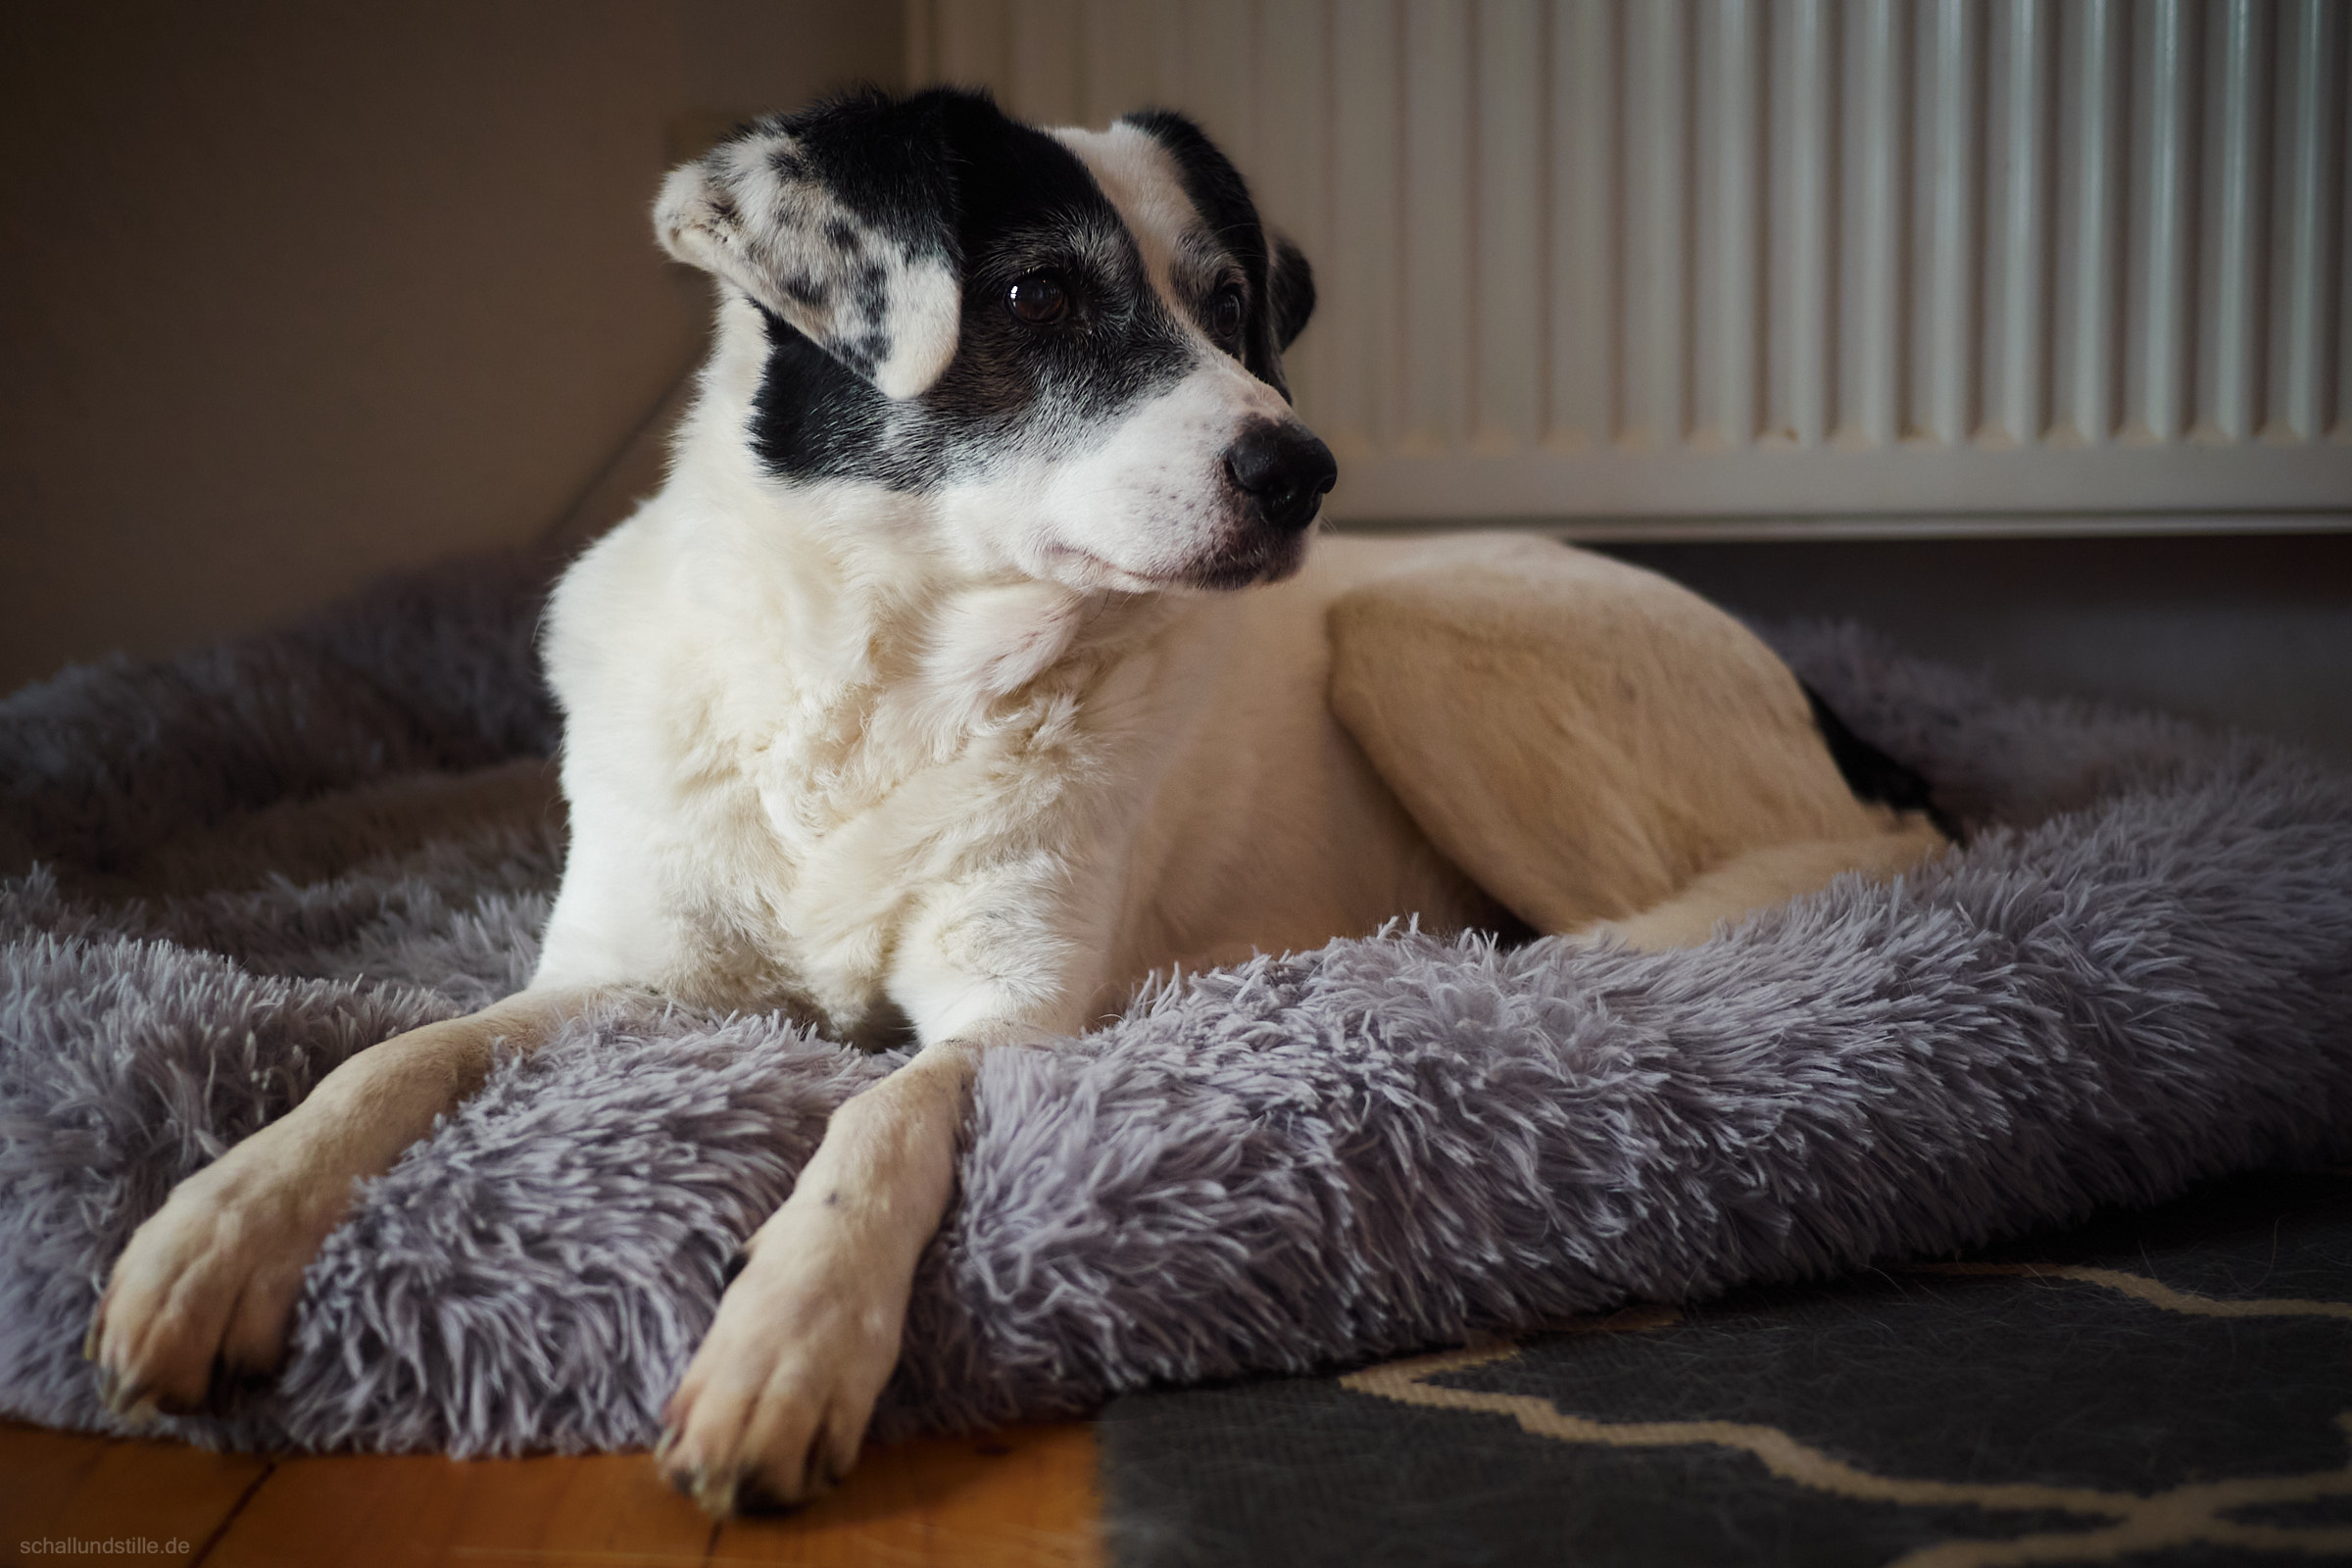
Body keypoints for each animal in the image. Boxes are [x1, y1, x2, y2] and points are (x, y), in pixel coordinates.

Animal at [82, 92, 1937, 1513]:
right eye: (1041, 294)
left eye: (1230, 301)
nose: (1303, 471)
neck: (882, 674)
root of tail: (1855, 744)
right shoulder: (619, 970)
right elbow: (393, 1059)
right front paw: (212, 1230)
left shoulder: (1012, 1009)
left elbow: (876, 1123)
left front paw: (785, 1339)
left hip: (1424, 642)